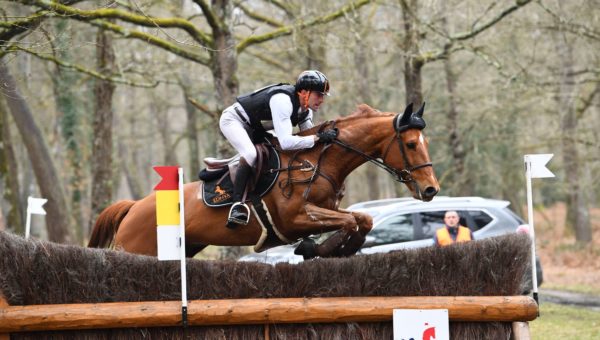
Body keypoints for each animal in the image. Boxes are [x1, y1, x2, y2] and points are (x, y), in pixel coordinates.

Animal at [88, 103, 440, 258]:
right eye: (411, 144)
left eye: (426, 142)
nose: (431, 189)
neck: (317, 160)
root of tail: (134, 207)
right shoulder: (295, 219)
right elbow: (353, 221)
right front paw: (323, 248)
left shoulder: (324, 211)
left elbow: (361, 219)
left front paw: (330, 249)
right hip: (142, 248)